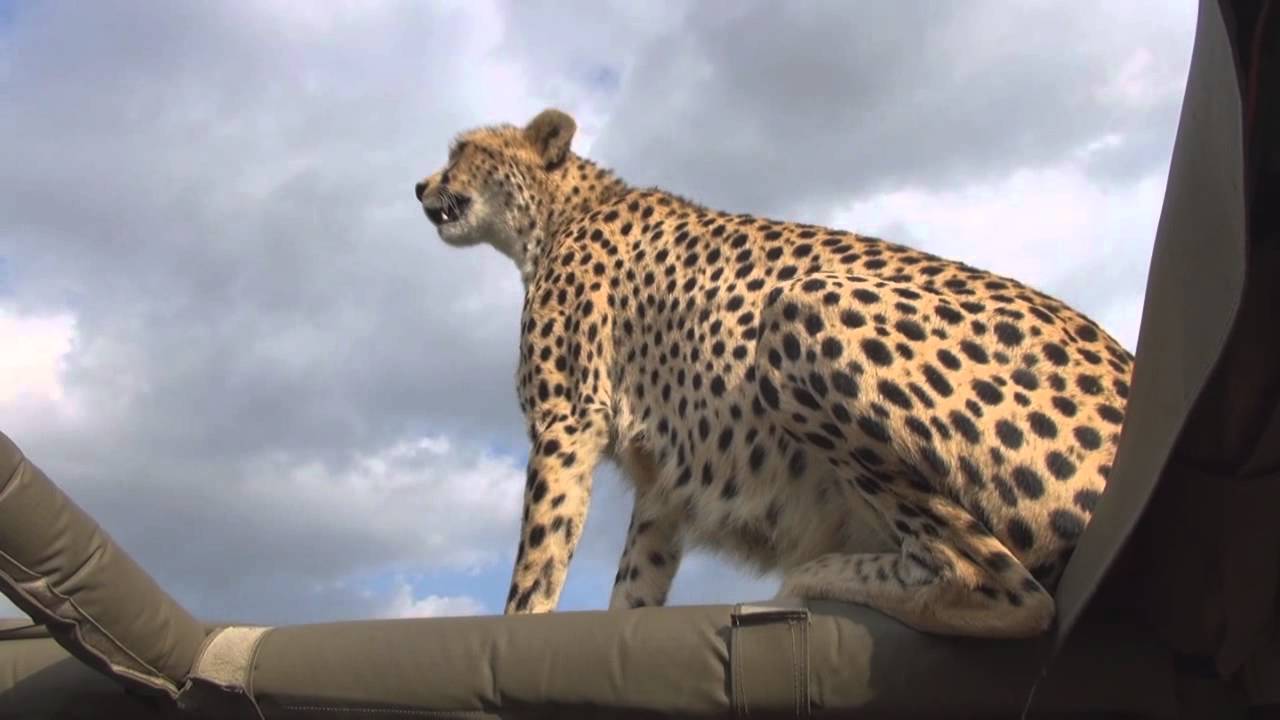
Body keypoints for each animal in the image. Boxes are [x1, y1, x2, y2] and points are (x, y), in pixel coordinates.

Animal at [412, 108, 1132, 639]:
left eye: (461, 150)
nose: (421, 185)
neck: (560, 211)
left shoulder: (568, 419)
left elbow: (538, 560)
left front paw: (512, 633)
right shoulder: (662, 483)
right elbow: (636, 582)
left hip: (802, 309)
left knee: (1008, 589)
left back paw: (822, 576)